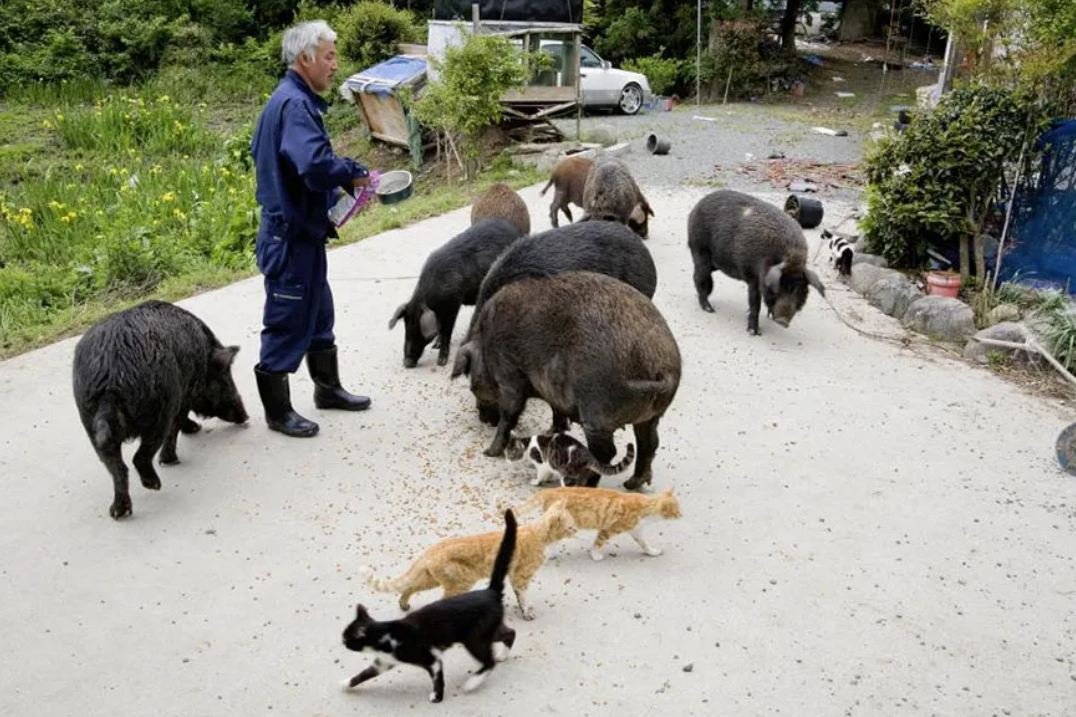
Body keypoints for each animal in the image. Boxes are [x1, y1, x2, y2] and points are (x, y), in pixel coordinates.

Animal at [340, 508, 516, 697]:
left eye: (347, 637)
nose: (341, 641)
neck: (385, 635)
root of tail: (490, 591)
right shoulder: (384, 662)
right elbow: (364, 674)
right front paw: (346, 683)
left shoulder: (430, 658)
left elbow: (437, 677)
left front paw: (436, 696)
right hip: (485, 631)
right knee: (510, 633)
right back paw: (503, 655)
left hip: (474, 637)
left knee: (489, 661)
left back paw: (472, 683)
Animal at [363, 499, 581, 615]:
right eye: (571, 527)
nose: (578, 531)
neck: (538, 534)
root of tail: (430, 550)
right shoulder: (521, 576)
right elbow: (523, 596)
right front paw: (526, 612)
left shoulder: (513, 576)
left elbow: (520, 597)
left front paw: (522, 609)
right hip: (461, 582)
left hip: (431, 580)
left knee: (409, 587)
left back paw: (404, 604)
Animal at [505, 430, 636, 486]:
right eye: (505, 453)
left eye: (510, 455)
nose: (506, 460)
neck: (528, 444)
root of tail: (589, 456)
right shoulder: (549, 465)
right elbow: (549, 473)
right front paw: (549, 479)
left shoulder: (541, 464)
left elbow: (540, 475)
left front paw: (537, 481)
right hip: (581, 476)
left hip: (568, 475)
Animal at [514, 486, 680, 559]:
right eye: (676, 510)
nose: (681, 515)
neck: (645, 507)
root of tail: (551, 489)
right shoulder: (608, 529)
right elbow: (598, 542)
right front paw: (595, 555)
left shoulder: (636, 530)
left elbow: (644, 543)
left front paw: (652, 551)